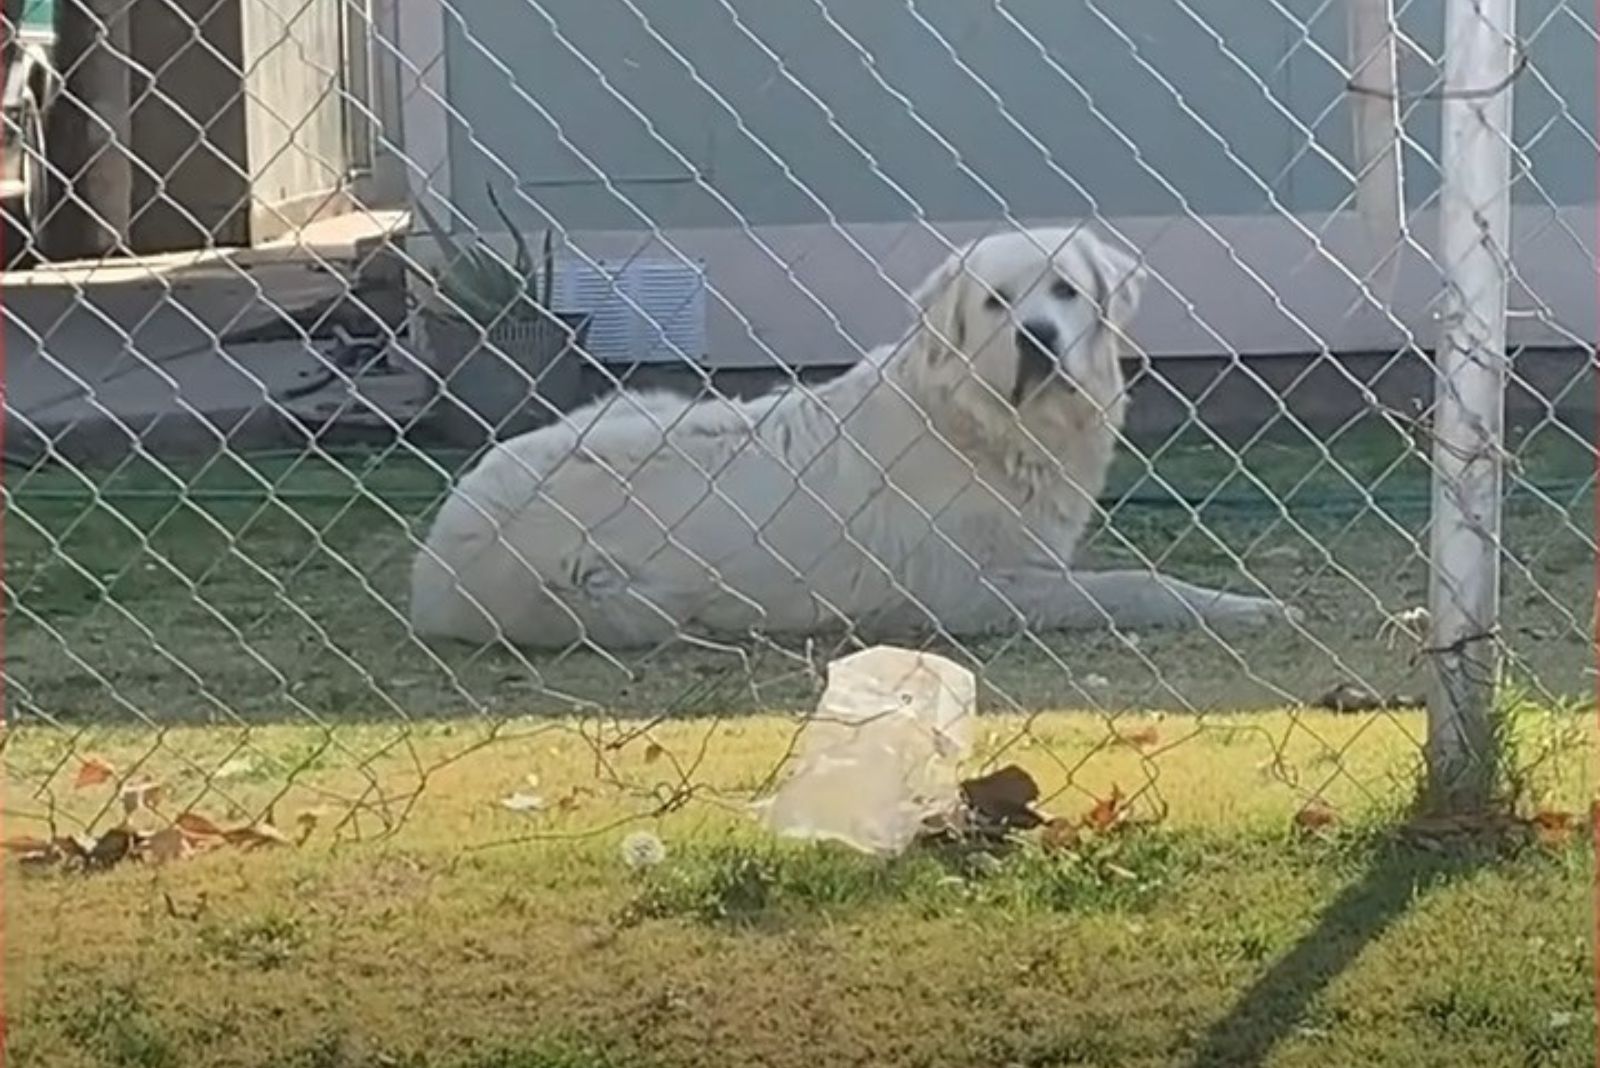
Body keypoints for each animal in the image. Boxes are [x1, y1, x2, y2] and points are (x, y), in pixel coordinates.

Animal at [406, 227, 1292, 645]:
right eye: (998, 302)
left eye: (1067, 292)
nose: (1038, 339)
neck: (980, 420)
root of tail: (438, 544)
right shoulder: (973, 591)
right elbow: (1136, 584)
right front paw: (1242, 606)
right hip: (608, 598)